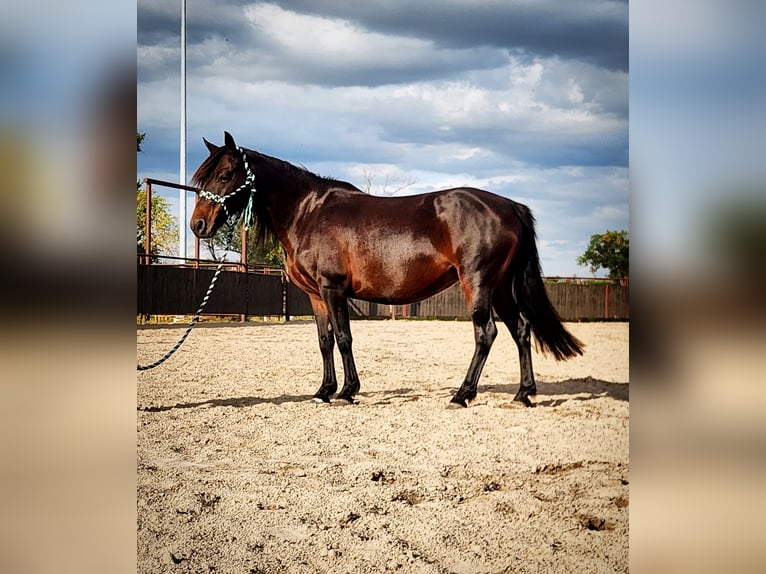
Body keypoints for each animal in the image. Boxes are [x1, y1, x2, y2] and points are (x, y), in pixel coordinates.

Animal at [190, 133, 584, 408]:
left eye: (226, 174)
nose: (197, 225)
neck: (308, 211)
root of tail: (510, 206)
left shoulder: (333, 289)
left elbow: (345, 338)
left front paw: (348, 391)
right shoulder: (315, 295)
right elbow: (324, 340)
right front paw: (324, 390)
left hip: (479, 283)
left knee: (486, 333)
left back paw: (462, 395)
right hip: (501, 287)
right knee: (521, 330)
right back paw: (523, 393)